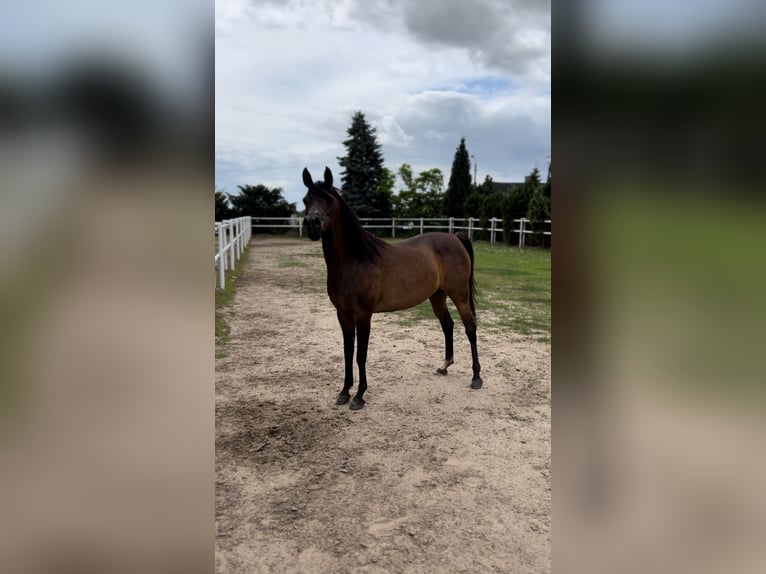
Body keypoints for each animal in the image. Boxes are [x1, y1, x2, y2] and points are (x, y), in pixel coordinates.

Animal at [304, 166, 484, 410]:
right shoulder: (343, 314)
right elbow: (347, 353)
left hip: (460, 295)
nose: (311, 225)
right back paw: (444, 366)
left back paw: (476, 378)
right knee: (448, 325)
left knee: (470, 328)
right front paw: (344, 392)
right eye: (305, 200)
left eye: (329, 202)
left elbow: (361, 355)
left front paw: (359, 396)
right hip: (437, 296)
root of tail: (455, 237)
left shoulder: (363, 315)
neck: (357, 259)